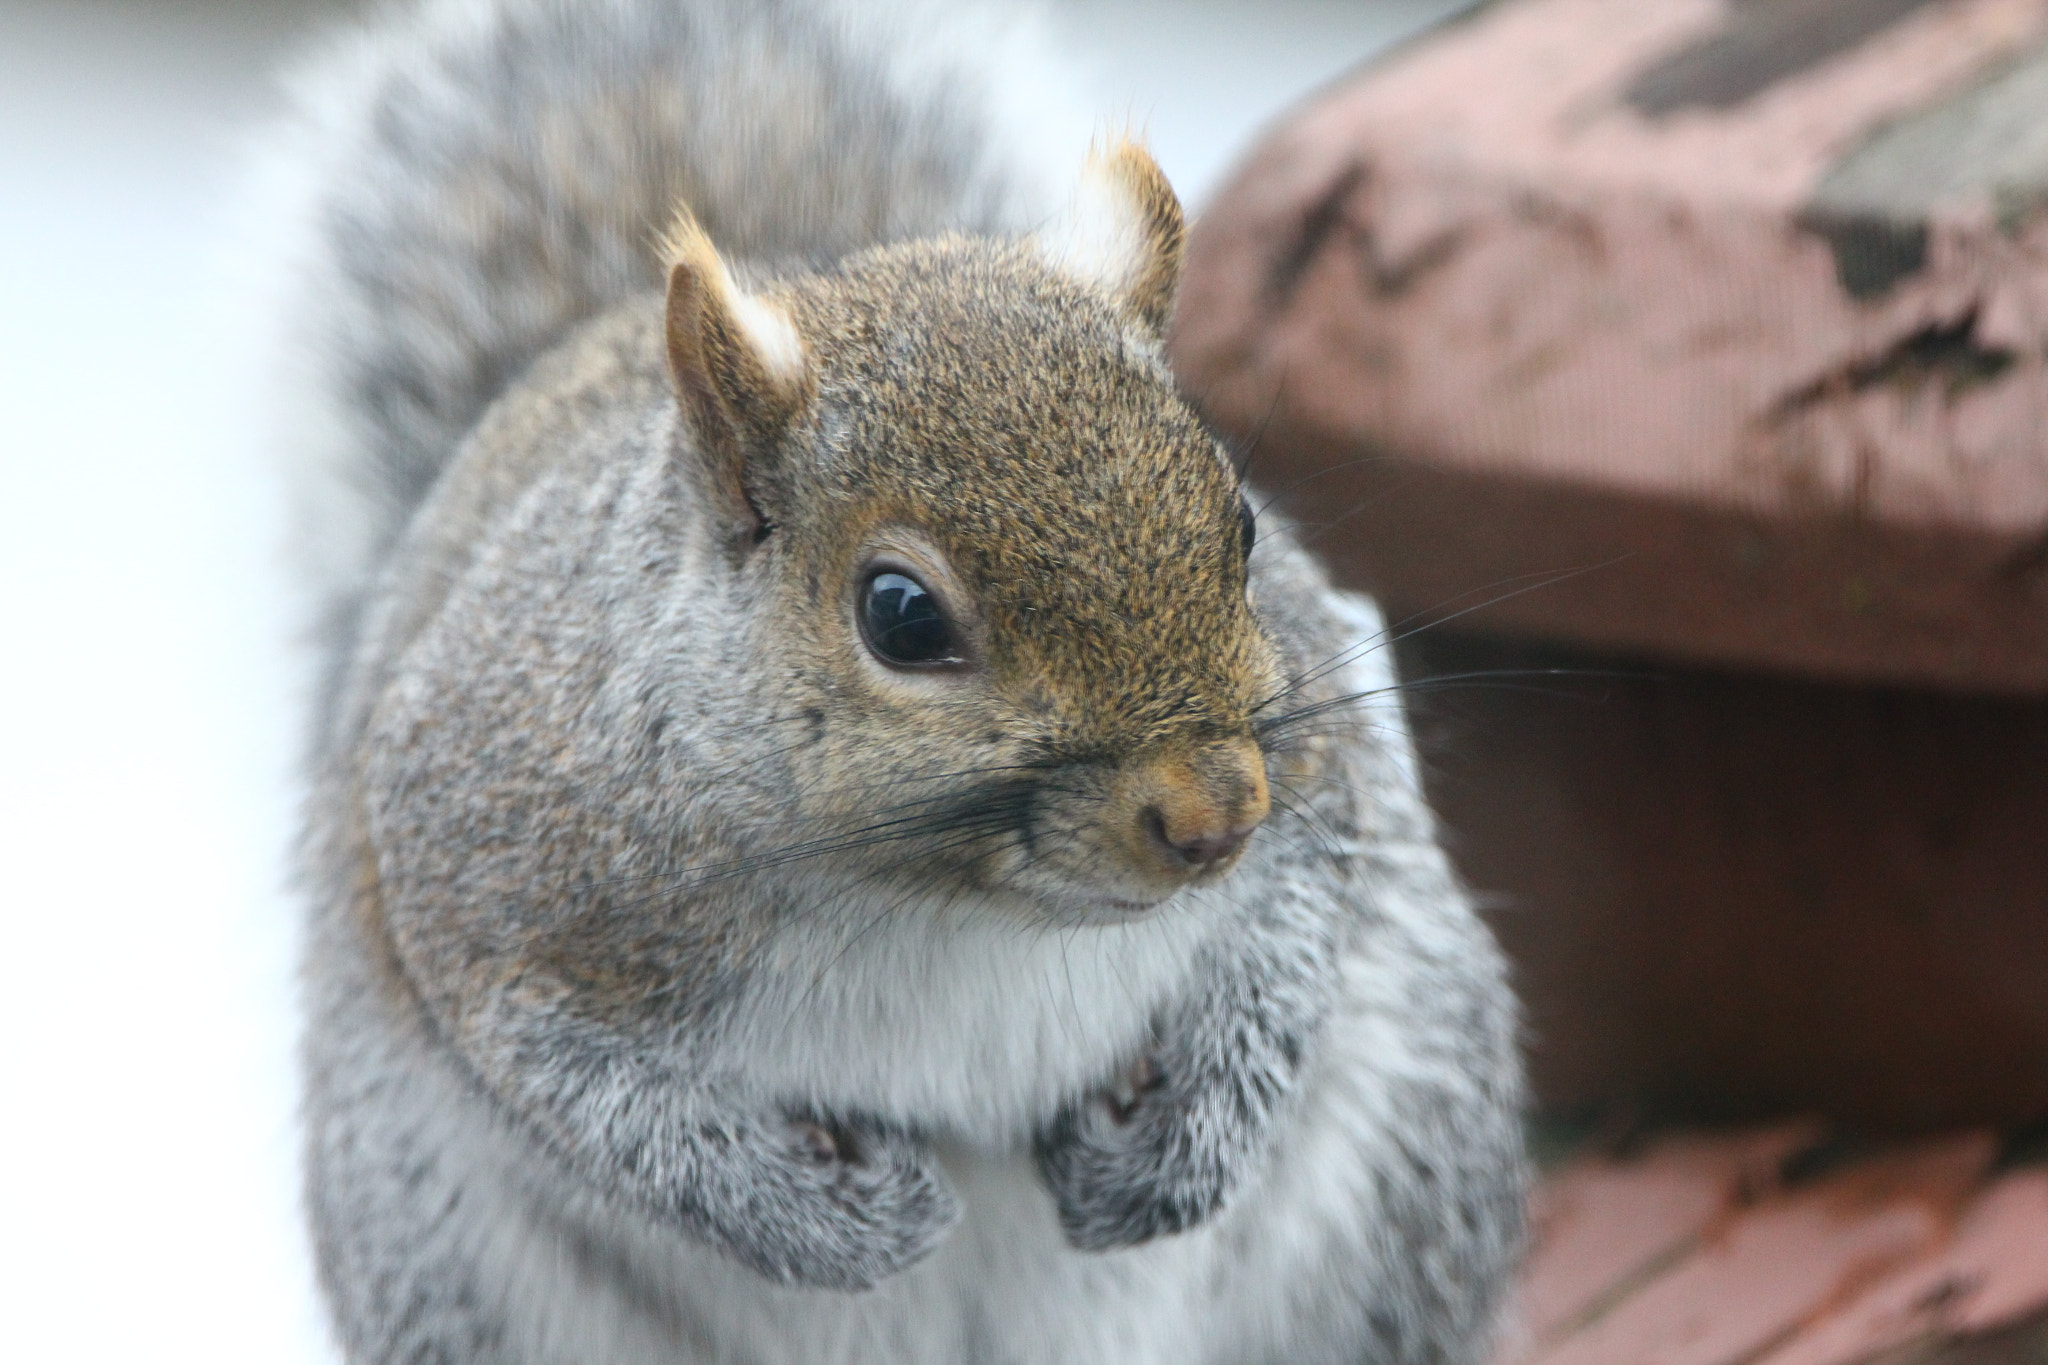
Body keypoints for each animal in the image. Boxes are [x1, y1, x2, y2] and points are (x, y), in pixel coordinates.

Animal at [272, 0, 1526, 1361]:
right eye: (901, 615)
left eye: (1241, 531)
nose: (1210, 820)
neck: (945, 902)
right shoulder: (483, 871)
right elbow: (575, 1088)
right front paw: (835, 1216)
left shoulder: (1308, 766)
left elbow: (1299, 915)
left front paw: (1182, 1143)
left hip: (1407, 1160)